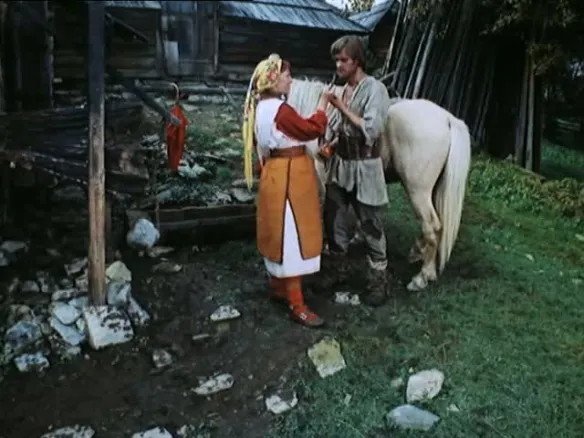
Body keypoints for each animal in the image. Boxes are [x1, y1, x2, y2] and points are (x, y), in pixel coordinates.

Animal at [287, 77, 472, 292]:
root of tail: (448, 119)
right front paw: (357, 236)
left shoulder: (323, 177)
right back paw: (422, 257)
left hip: (418, 191)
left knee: (432, 225)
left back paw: (422, 277)